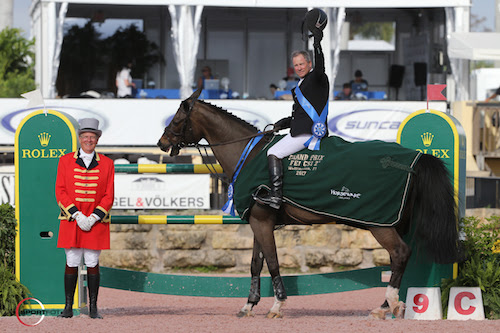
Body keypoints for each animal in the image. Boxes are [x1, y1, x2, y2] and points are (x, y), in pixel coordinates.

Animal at [158, 89, 458, 318]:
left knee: (400, 254)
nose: (161, 143)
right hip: (396, 223)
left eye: (178, 119)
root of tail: (415, 158)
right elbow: (256, 264)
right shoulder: (258, 221)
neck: (249, 153)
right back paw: (385, 306)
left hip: (380, 225)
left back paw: (389, 304)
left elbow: (273, 262)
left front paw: (277, 306)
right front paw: (248, 306)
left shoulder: (262, 223)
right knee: (399, 259)